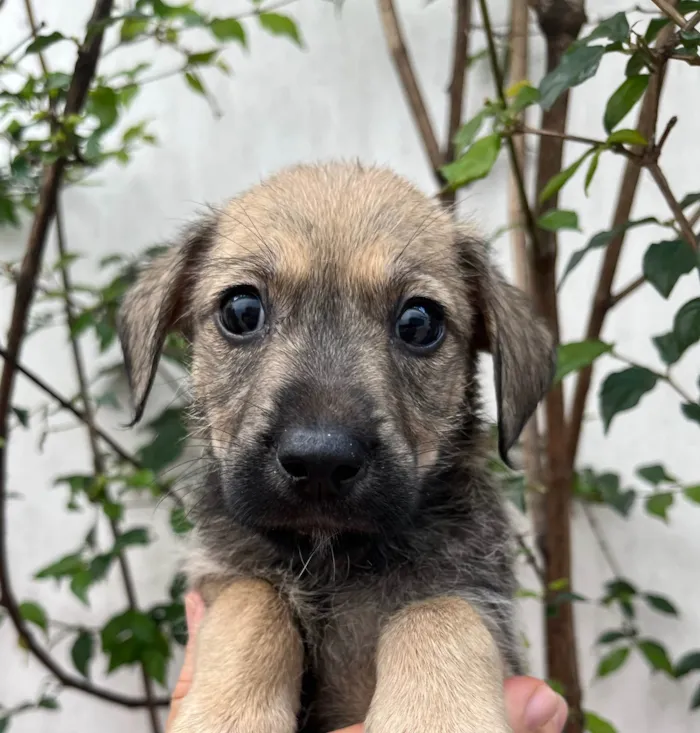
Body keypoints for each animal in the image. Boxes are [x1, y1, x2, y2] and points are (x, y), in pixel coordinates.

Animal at [120, 162, 556, 732]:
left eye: (420, 322)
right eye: (241, 310)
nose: (320, 462)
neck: (330, 562)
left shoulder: (479, 600)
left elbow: (437, 611)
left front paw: (435, 714)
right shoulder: (222, 580)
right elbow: (252, 601)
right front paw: (225, 714)